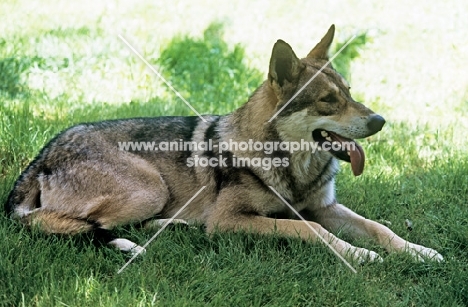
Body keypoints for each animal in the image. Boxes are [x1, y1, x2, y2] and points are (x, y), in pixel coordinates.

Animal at [4, 25, 442, 264]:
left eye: (350, 93)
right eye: (327, 101)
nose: (380, 121)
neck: (291, 166)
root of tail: (42, 155)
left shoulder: (325, 207)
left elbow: (380, 228)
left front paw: (419, 251)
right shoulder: (233, 221)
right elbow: (310, 231)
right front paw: (359, 255)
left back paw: (176, 225)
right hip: (148, 186)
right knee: (74, 226)